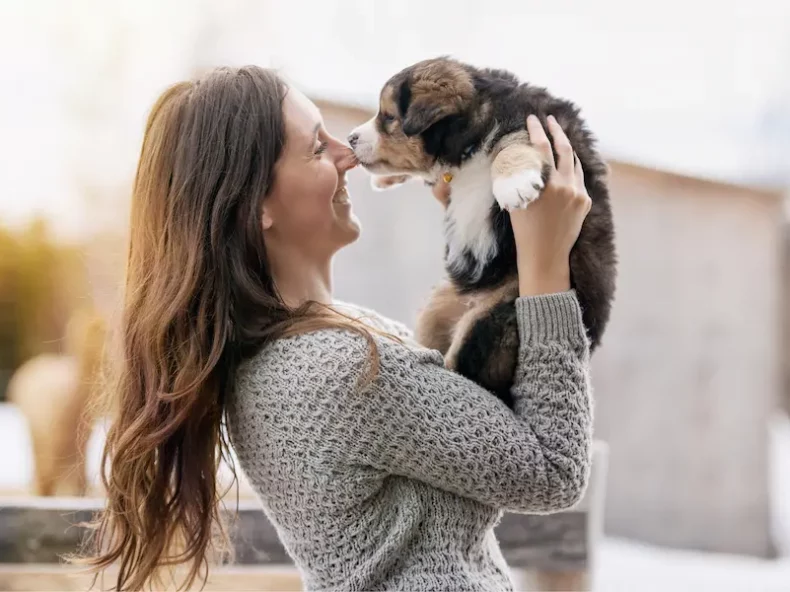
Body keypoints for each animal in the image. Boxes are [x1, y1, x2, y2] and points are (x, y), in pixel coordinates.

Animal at [352, 56, 620, 408]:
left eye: (388, 117)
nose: (350, 138)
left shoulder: (539, 129)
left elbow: (511, 146)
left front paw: (514, 185)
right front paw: (384, 179)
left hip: (496, 315)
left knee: (468, 371)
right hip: (437, 306)